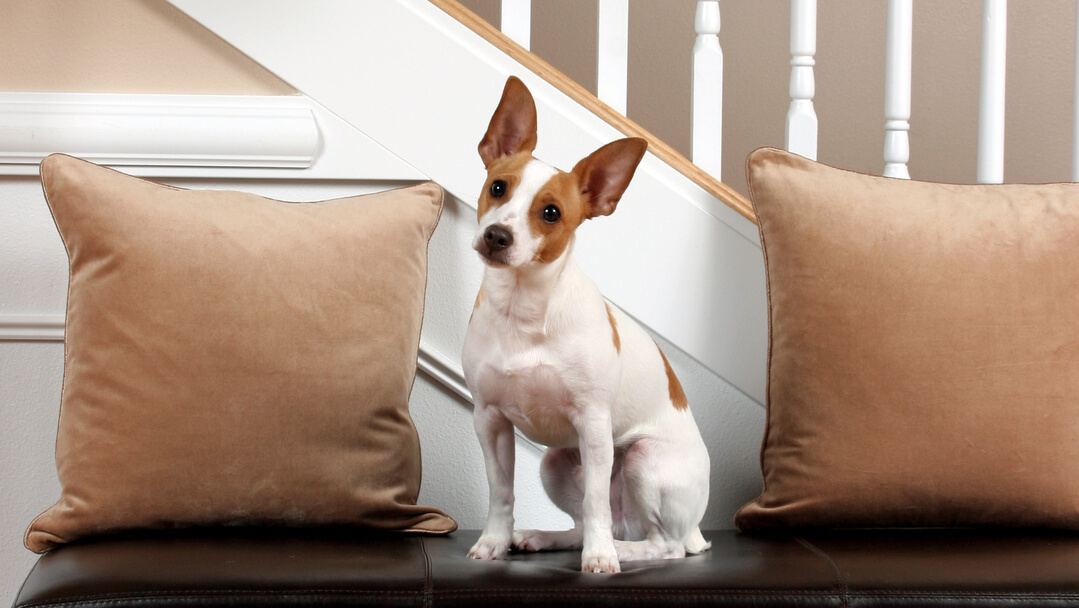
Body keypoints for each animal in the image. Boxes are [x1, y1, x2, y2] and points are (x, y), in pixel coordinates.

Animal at [461, 77, 707, 574]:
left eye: (551, 213)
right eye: (497, 187)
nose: (497, 235)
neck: (522, 308)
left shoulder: (593, 426)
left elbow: (595, 503)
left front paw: (600, 559)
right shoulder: (490, 421)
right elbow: (501, 493)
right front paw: (494, 542)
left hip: (642, 461)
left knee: (661, 543)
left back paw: (620, 550)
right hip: (554, 462)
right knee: (591, 523)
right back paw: (546, 537)